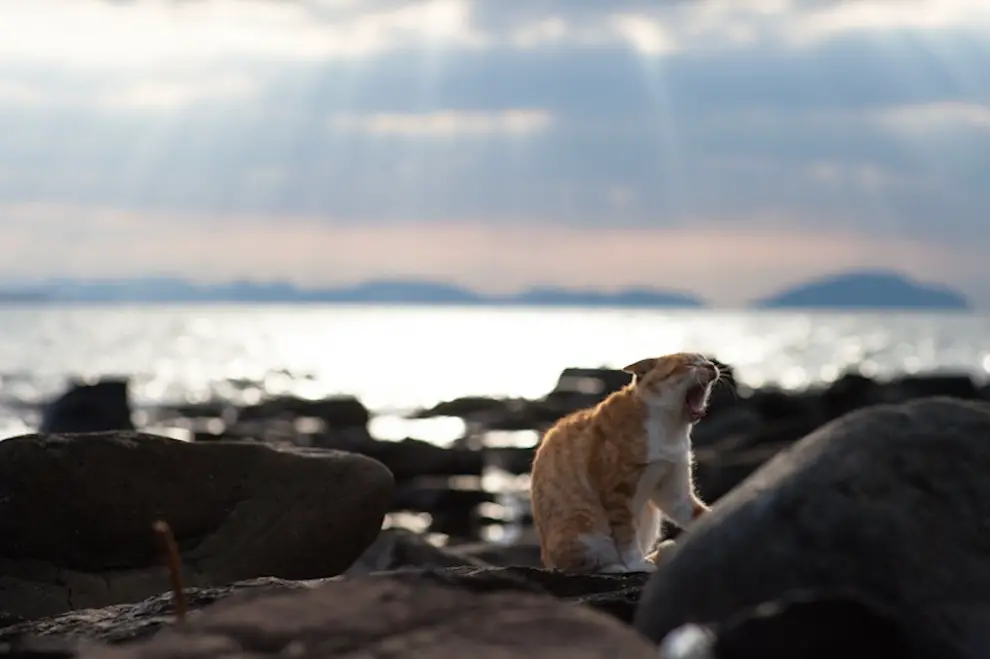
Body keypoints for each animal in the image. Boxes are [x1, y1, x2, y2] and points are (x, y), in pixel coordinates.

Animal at [532, 354, 716, 576]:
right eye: (689, 364)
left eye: (705, 360)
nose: (712, 366)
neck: (670, 428)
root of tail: (547, 560)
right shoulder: (617, 494)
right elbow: (627, 537)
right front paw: (635, 563)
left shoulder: (673, 490)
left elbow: (695, 513)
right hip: (581, 527)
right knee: (583, 564)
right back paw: (618, 566)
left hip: (650, 515)